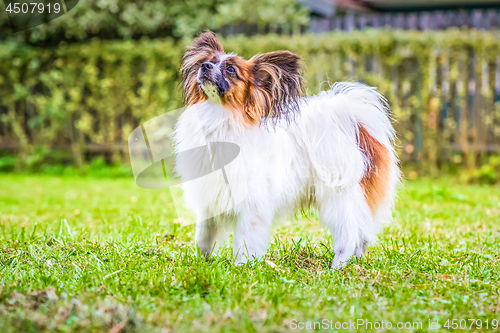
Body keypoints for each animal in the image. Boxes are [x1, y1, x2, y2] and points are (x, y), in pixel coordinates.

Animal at [174, 31, 400, 268]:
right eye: (207, 61)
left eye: (231, 69)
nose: (205, 66)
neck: (219, 117)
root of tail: (357, 127)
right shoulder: (210, 200)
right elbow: (204, 236)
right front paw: (202, 262)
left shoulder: (252, 205)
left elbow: (244, 241)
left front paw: (241, 268)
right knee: (362, 233)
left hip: (340, 198)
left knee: (348, 234)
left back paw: (337, 266)